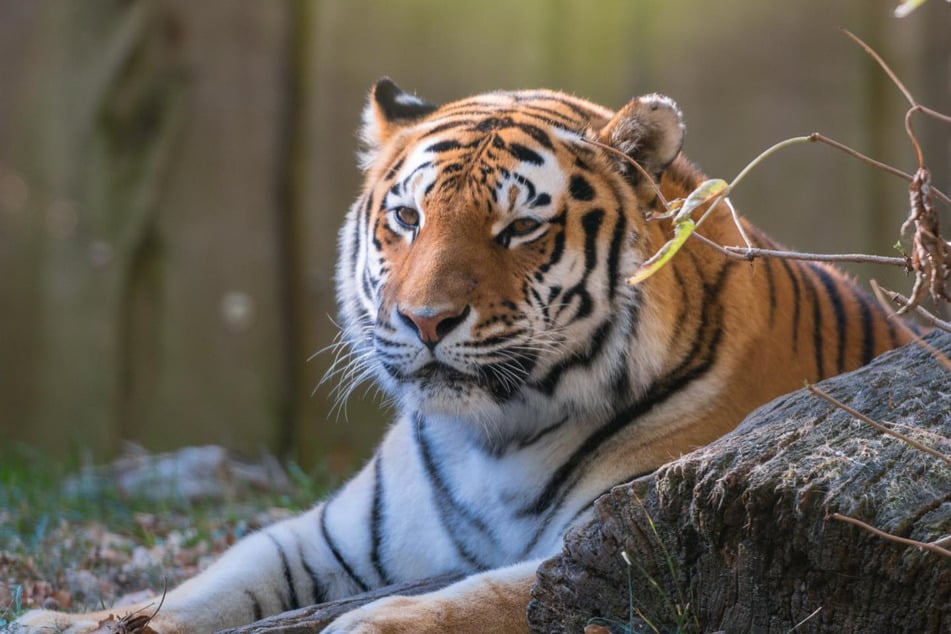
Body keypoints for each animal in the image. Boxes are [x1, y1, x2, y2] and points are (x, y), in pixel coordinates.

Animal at [11, 79, 912, 632]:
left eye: (520, 227)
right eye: (407, 218)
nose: (424, 321)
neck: (494, 437)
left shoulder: (620, 543)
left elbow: (491, 598)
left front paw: (370, 625)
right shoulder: (328, 537)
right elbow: (213, 582)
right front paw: (67, 620)